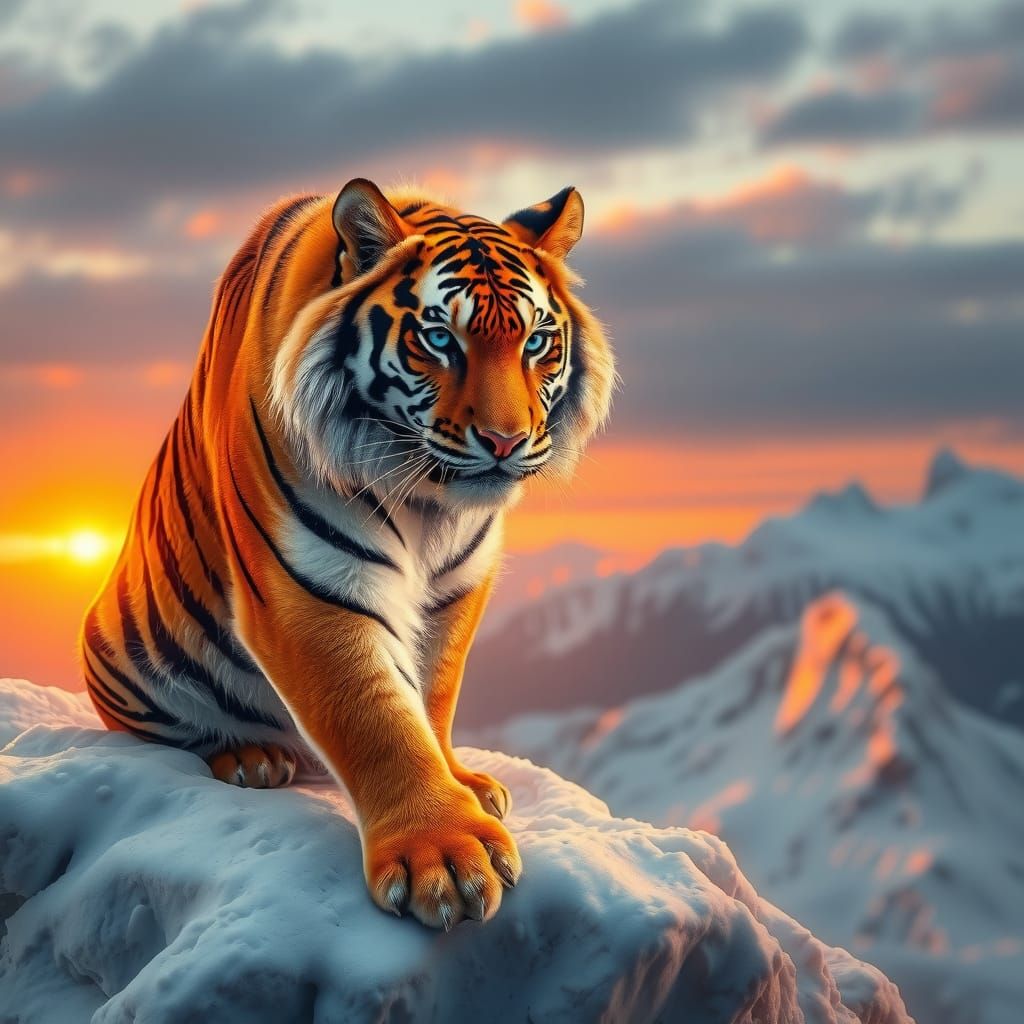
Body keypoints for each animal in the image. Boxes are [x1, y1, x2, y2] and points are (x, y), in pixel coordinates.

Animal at [80, 178, 614, 930]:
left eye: (538, 341)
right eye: (439, 338)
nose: (506, 441)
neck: (430, 505)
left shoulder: (457, 588)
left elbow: (432, 695)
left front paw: (465, 786)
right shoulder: (309, 584)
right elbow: (375, 717)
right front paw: (443, 858)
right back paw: (250, 759)